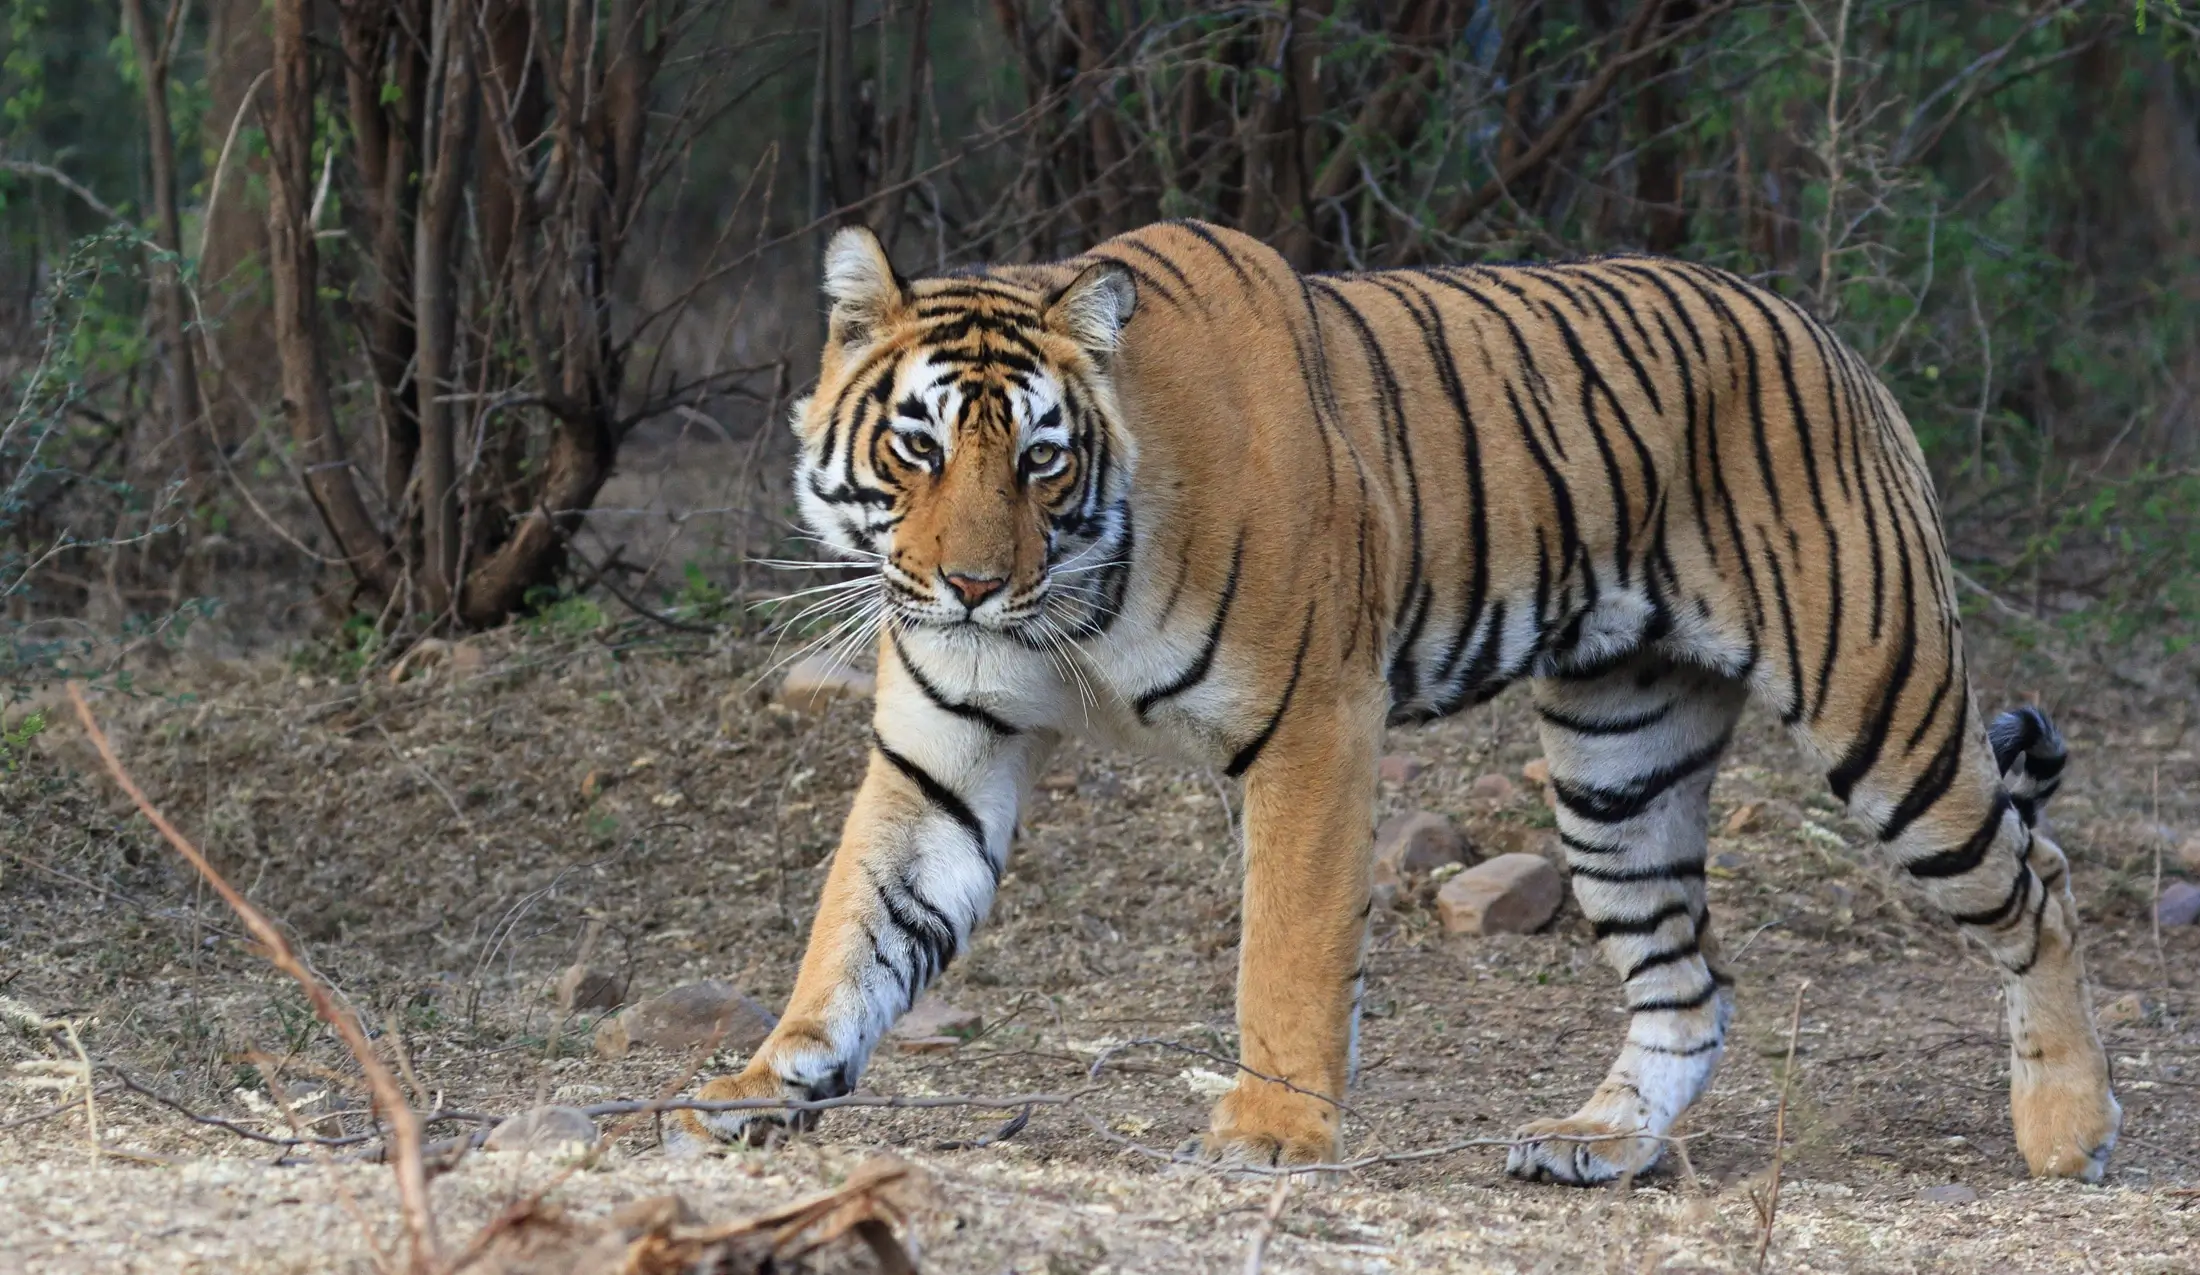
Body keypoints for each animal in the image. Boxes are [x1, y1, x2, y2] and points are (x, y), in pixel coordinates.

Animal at [675, 219, 2120, 1185]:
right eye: (915, 444)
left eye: (1039, 459)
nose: (971, 584)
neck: (1069, 607)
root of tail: (1827, 335)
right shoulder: (947, 751)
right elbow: (856, 930)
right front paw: (759, 1085)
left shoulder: (1313, 723)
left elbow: (1288, 948)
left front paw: (1274, 1129)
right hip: (1618, 760)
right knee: (1688, 978)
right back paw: (1597, 1140)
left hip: (1878, 701)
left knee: (2036, 880)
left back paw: (2068, 1132)